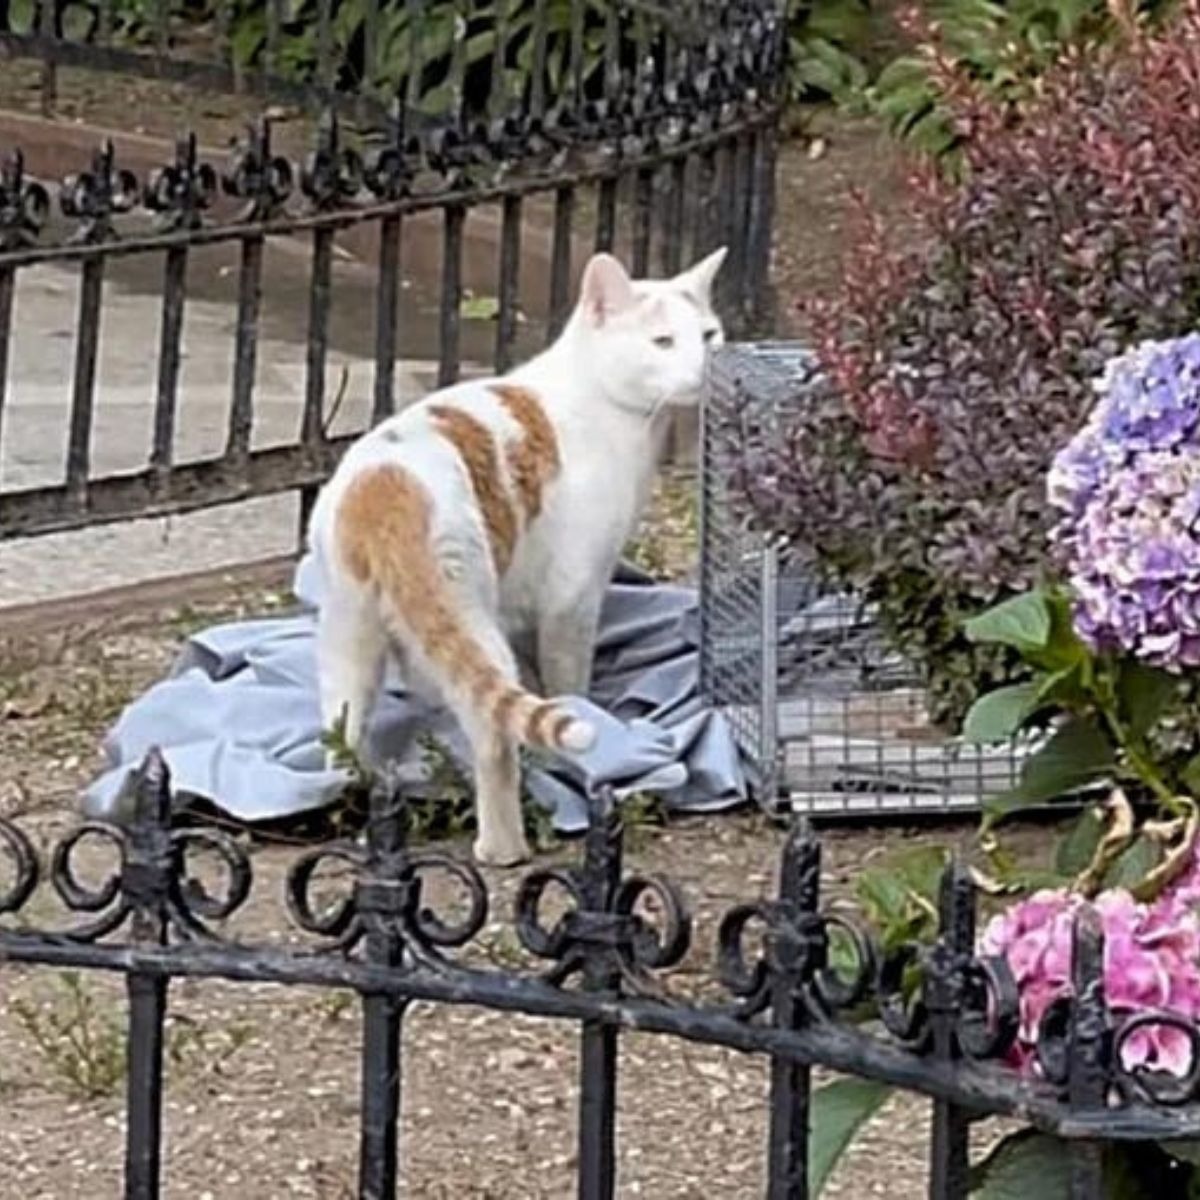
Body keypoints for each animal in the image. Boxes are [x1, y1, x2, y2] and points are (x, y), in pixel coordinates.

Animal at [304, 246, 724, 864]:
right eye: (663, 342)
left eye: (709, 335)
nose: (704, 368)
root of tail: (385, 488)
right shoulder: (572, 598)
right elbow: (568, 683)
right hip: (468, 609)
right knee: (490, 728)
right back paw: (503, 845)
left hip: (349, 636)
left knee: (344, 728)